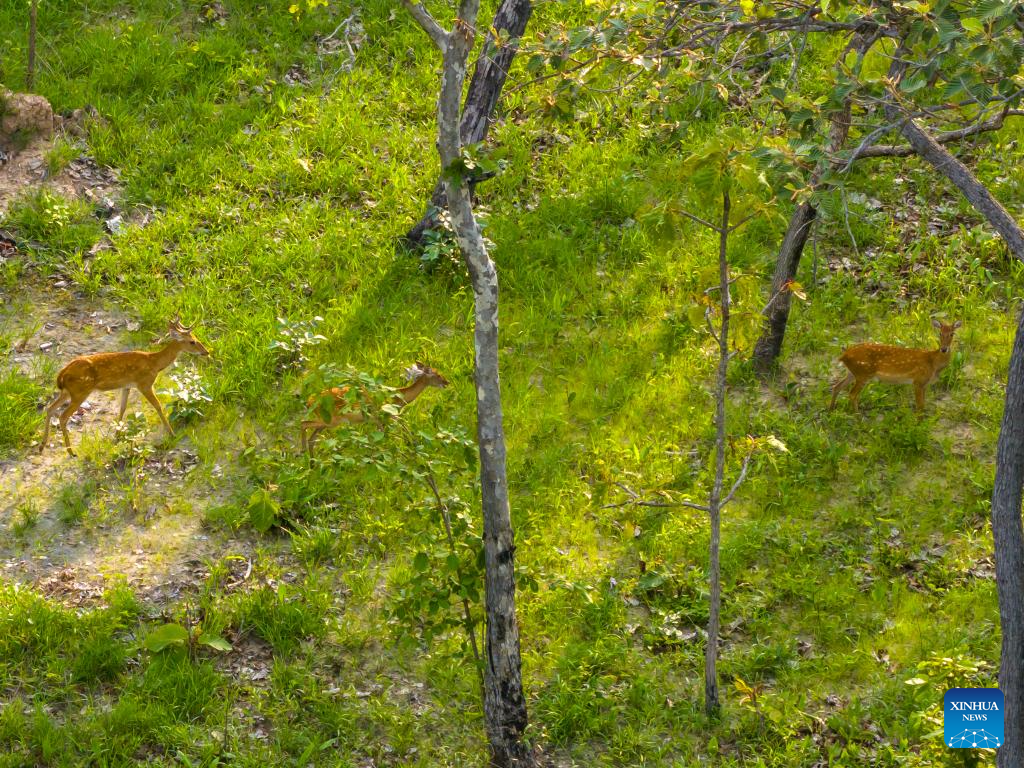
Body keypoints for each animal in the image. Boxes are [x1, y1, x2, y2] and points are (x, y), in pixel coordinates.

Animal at [39, 317, 211, 456]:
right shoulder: (144, 383)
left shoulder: (126, 386)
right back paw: (71, 451)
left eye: (196, 338)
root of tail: (61, 374)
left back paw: (42, 446)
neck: (155, 364)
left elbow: (122, 408)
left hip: (68, 392)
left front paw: (117, 436)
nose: (207, 352)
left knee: (50, 408)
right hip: (80, 391)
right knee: (62, 416)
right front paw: (172, 434)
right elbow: (158, 406)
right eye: (192, 341)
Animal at [299, 362, 452, 454]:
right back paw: (301, 452)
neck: (397, 398)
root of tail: (310, 401)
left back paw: (312, 464)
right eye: (438, 374)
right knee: (303, 423)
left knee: (312, 437)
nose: (447, 382)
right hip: (332, 419)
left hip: (327, 421)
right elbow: (385, 437)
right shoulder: (379, 416)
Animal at [827, 319, 962, 415]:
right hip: (863, 373)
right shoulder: (918, 381)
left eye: (952, 334)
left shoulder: (925, 384)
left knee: (837, 386)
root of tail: (844, 355)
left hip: (852, 372)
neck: (933, 363)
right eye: (940, 333)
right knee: (852, 394)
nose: (944, 349)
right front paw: (918, 426)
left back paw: (831, 410)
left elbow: (923, 406)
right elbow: (919, 407)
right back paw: (858, 418)